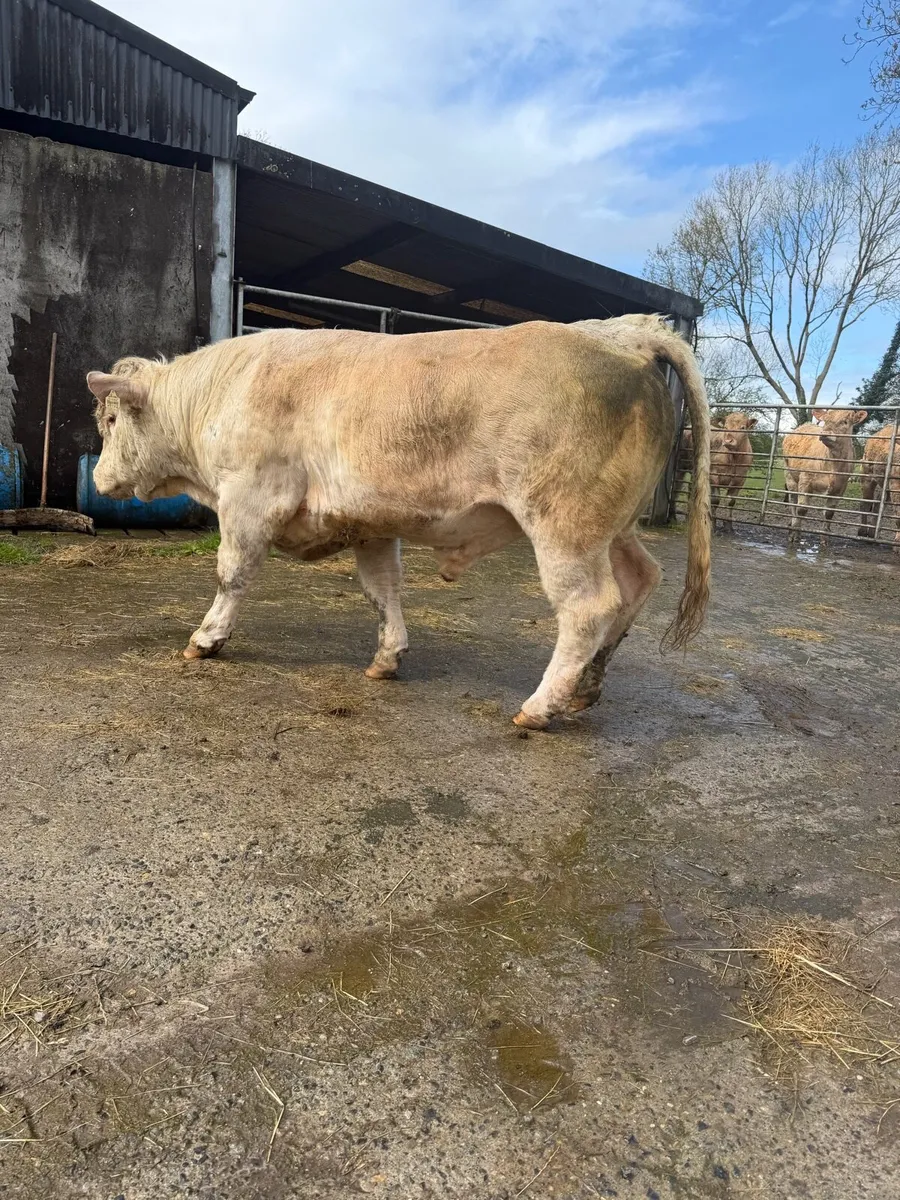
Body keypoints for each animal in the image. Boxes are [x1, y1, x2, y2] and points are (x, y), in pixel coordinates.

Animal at [86, 315, 711, 731]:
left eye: (111, 420)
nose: (96, 478)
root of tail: (623, 331)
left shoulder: (249, 497)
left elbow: (231, 574)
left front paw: (206, 639)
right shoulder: (370, 522)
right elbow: (381, 589)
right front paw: (387, 658)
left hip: (565, 524)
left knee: (588, 607)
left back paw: (540, 707)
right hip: (615, 528)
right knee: (640, 582)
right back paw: (588, 688)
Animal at [782, 407, 867, 544]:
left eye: (845, 421)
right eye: (825, 420)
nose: (825, 433)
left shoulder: (840, 488)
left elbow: (829, 513)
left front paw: (824, 538)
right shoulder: (805, 480)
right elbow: (801, 509)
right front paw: (794, 534)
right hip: (790, 477)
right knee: (793, 503)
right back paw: (793, 525)